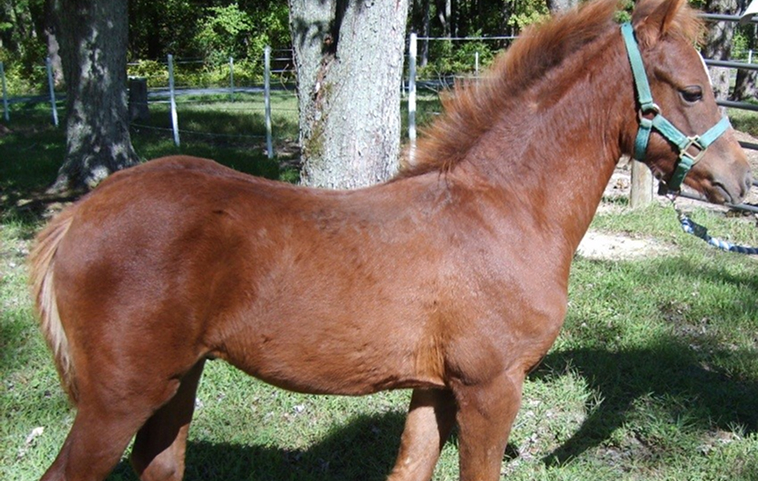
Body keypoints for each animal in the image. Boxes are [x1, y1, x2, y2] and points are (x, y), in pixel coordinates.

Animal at [28, 0, 752, 479]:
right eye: (692, 91)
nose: (740, 181)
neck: (503, 211)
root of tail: (75, 217)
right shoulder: (492, 387)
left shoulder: (435, 387)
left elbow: (410, 467)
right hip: (119, 399)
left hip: (178, 384)